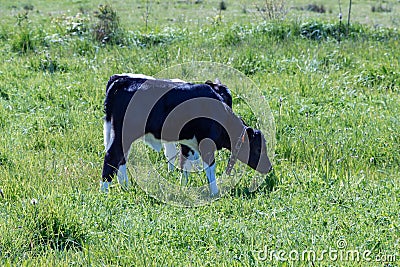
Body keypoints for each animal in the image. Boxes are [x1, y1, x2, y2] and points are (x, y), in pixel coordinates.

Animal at [101, 74, 274, 196]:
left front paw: (183, 187)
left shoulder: (188, 143)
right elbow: (209, 168)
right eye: (258, 149)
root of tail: (123, 80)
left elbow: (184, 164)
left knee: (121, 159)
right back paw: (104, 192)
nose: (269, 167)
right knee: (112, 156)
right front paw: (215, 193)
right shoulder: (206, 144)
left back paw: (125, 187)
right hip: (124, 133)